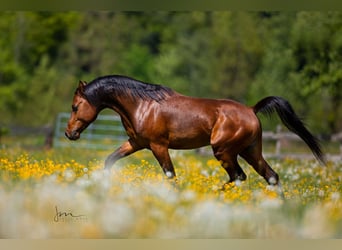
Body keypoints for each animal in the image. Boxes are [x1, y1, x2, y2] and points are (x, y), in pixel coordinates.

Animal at [65, 74, 326, 188]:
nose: (69, 134)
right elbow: (109, 160)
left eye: (75, 106)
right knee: (271, 176)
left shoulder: (158, 146)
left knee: (239, 176)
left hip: (224, 151)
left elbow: (170, 175)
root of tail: (252, 110)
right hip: (250, 151)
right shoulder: (136, 143)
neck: (142, 105)